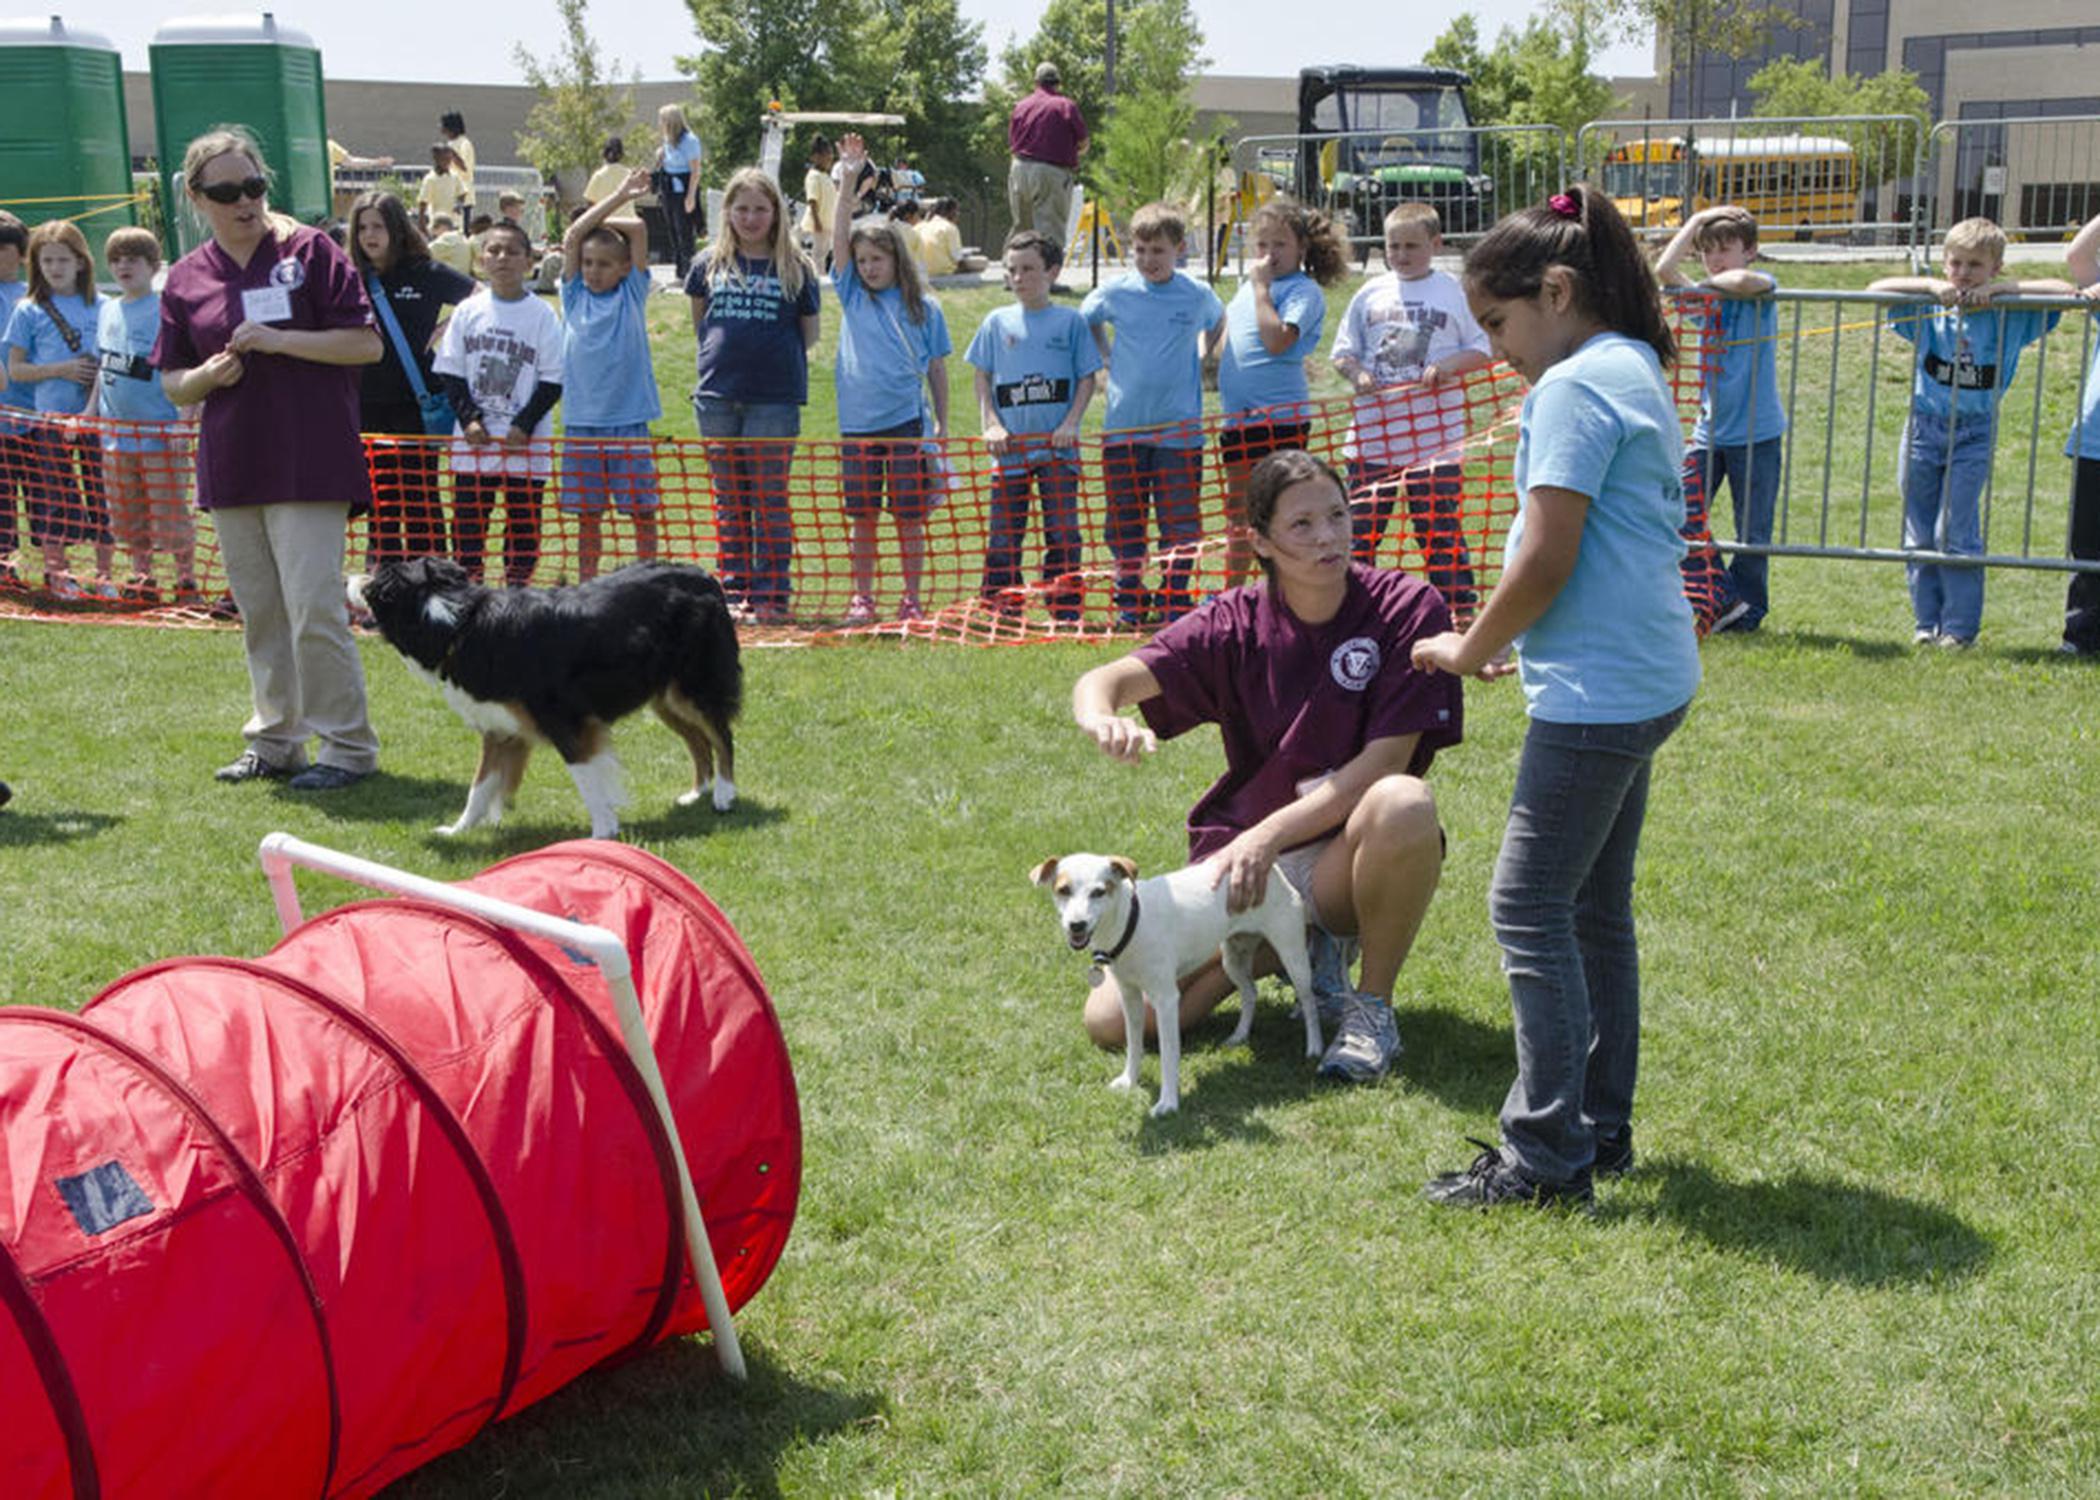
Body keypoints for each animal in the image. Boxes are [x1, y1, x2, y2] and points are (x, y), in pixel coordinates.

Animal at [346, 554, 739, 836]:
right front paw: (458, 829)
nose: (347, 577)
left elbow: (586, 778)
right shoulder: (499, 727)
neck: (454, 623)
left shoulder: (567, 722)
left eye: (373, 578)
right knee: (698, 741)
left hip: (694, 686)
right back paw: (697, 791)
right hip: (665, 696)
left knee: (722, 736)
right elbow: (479, 786)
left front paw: (602, 833)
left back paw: (723, 794)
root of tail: (703, 575)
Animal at [1029, 852, 1318, 1109]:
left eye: (1099, 892)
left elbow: (1169, 1054)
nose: (1076, 924)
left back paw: (1314, 1047)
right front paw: (1129, 1080)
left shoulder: (1166, 1000)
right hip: (1233, 958)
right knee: (1249, 992)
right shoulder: (1129, 996)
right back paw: (1240, 1034)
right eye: (1063, 890)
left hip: (1292, 956)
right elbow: (1134, 1043)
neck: (1130, 924)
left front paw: (1168, 1102)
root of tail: (1271, 869)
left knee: (1309, 1000)